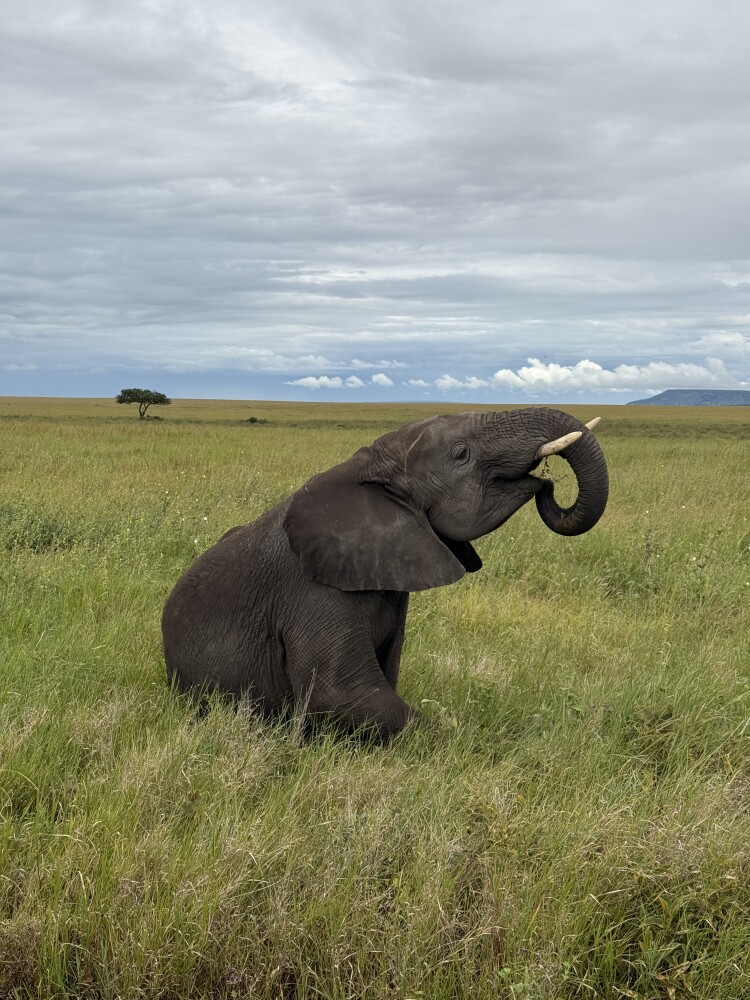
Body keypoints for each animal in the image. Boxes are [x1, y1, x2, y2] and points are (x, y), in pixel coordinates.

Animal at [162, 408, 608, 738]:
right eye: (460, 454)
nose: (548, 485)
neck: (369, 469)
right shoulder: (315, 588)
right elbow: (340, 692)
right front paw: (476, 740)